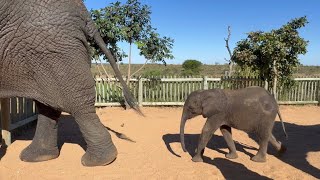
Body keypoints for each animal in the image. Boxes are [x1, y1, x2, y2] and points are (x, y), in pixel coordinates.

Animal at [0, 0, 140, 167]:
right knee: (49, 105)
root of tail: (84, 13)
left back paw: (97, 161)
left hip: (54, 48)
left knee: (77, 103)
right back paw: (37, 157)